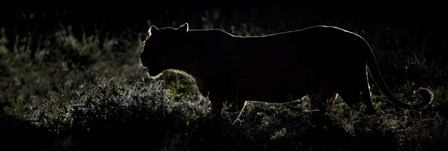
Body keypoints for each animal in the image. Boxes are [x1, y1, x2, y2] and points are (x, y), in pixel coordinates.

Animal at [140, 22, 434, 115]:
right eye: (145, 43)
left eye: (153, 45)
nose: (141, 56)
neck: (189, 56)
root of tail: (357, 37)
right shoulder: (236, 97)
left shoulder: (224, 95)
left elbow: (217, 120)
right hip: (325, 93)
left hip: (353, 87)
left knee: (371, 114)